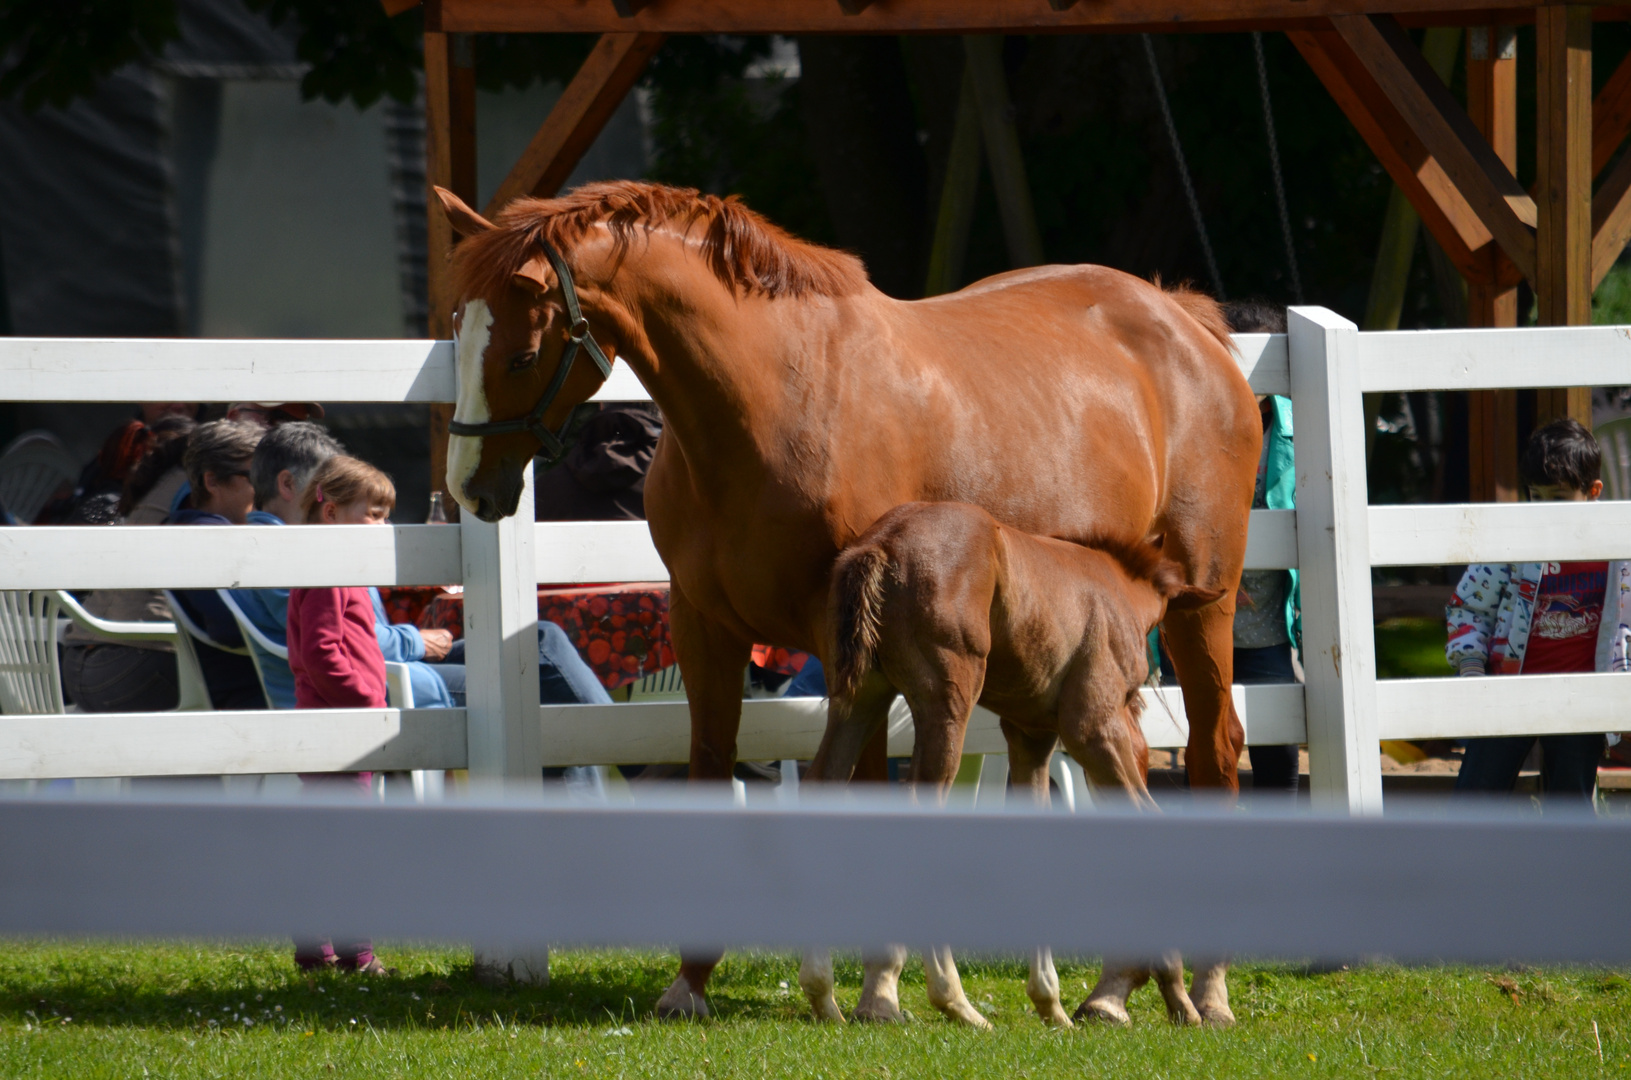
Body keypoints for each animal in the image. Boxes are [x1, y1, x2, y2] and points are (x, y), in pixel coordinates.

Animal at [433, 181, 1259, 1031]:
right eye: (456, 334)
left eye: (522, 354)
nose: (469, 489)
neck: (773, 401)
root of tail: (1177, 317)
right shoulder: (706, 630)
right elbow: (712, 765)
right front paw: (692, 979)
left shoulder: (846, 651)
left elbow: (866, 789)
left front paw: (879, 983)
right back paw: (1109, 988)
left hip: (1201, 608)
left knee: (1213, 751)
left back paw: (1204, 987)